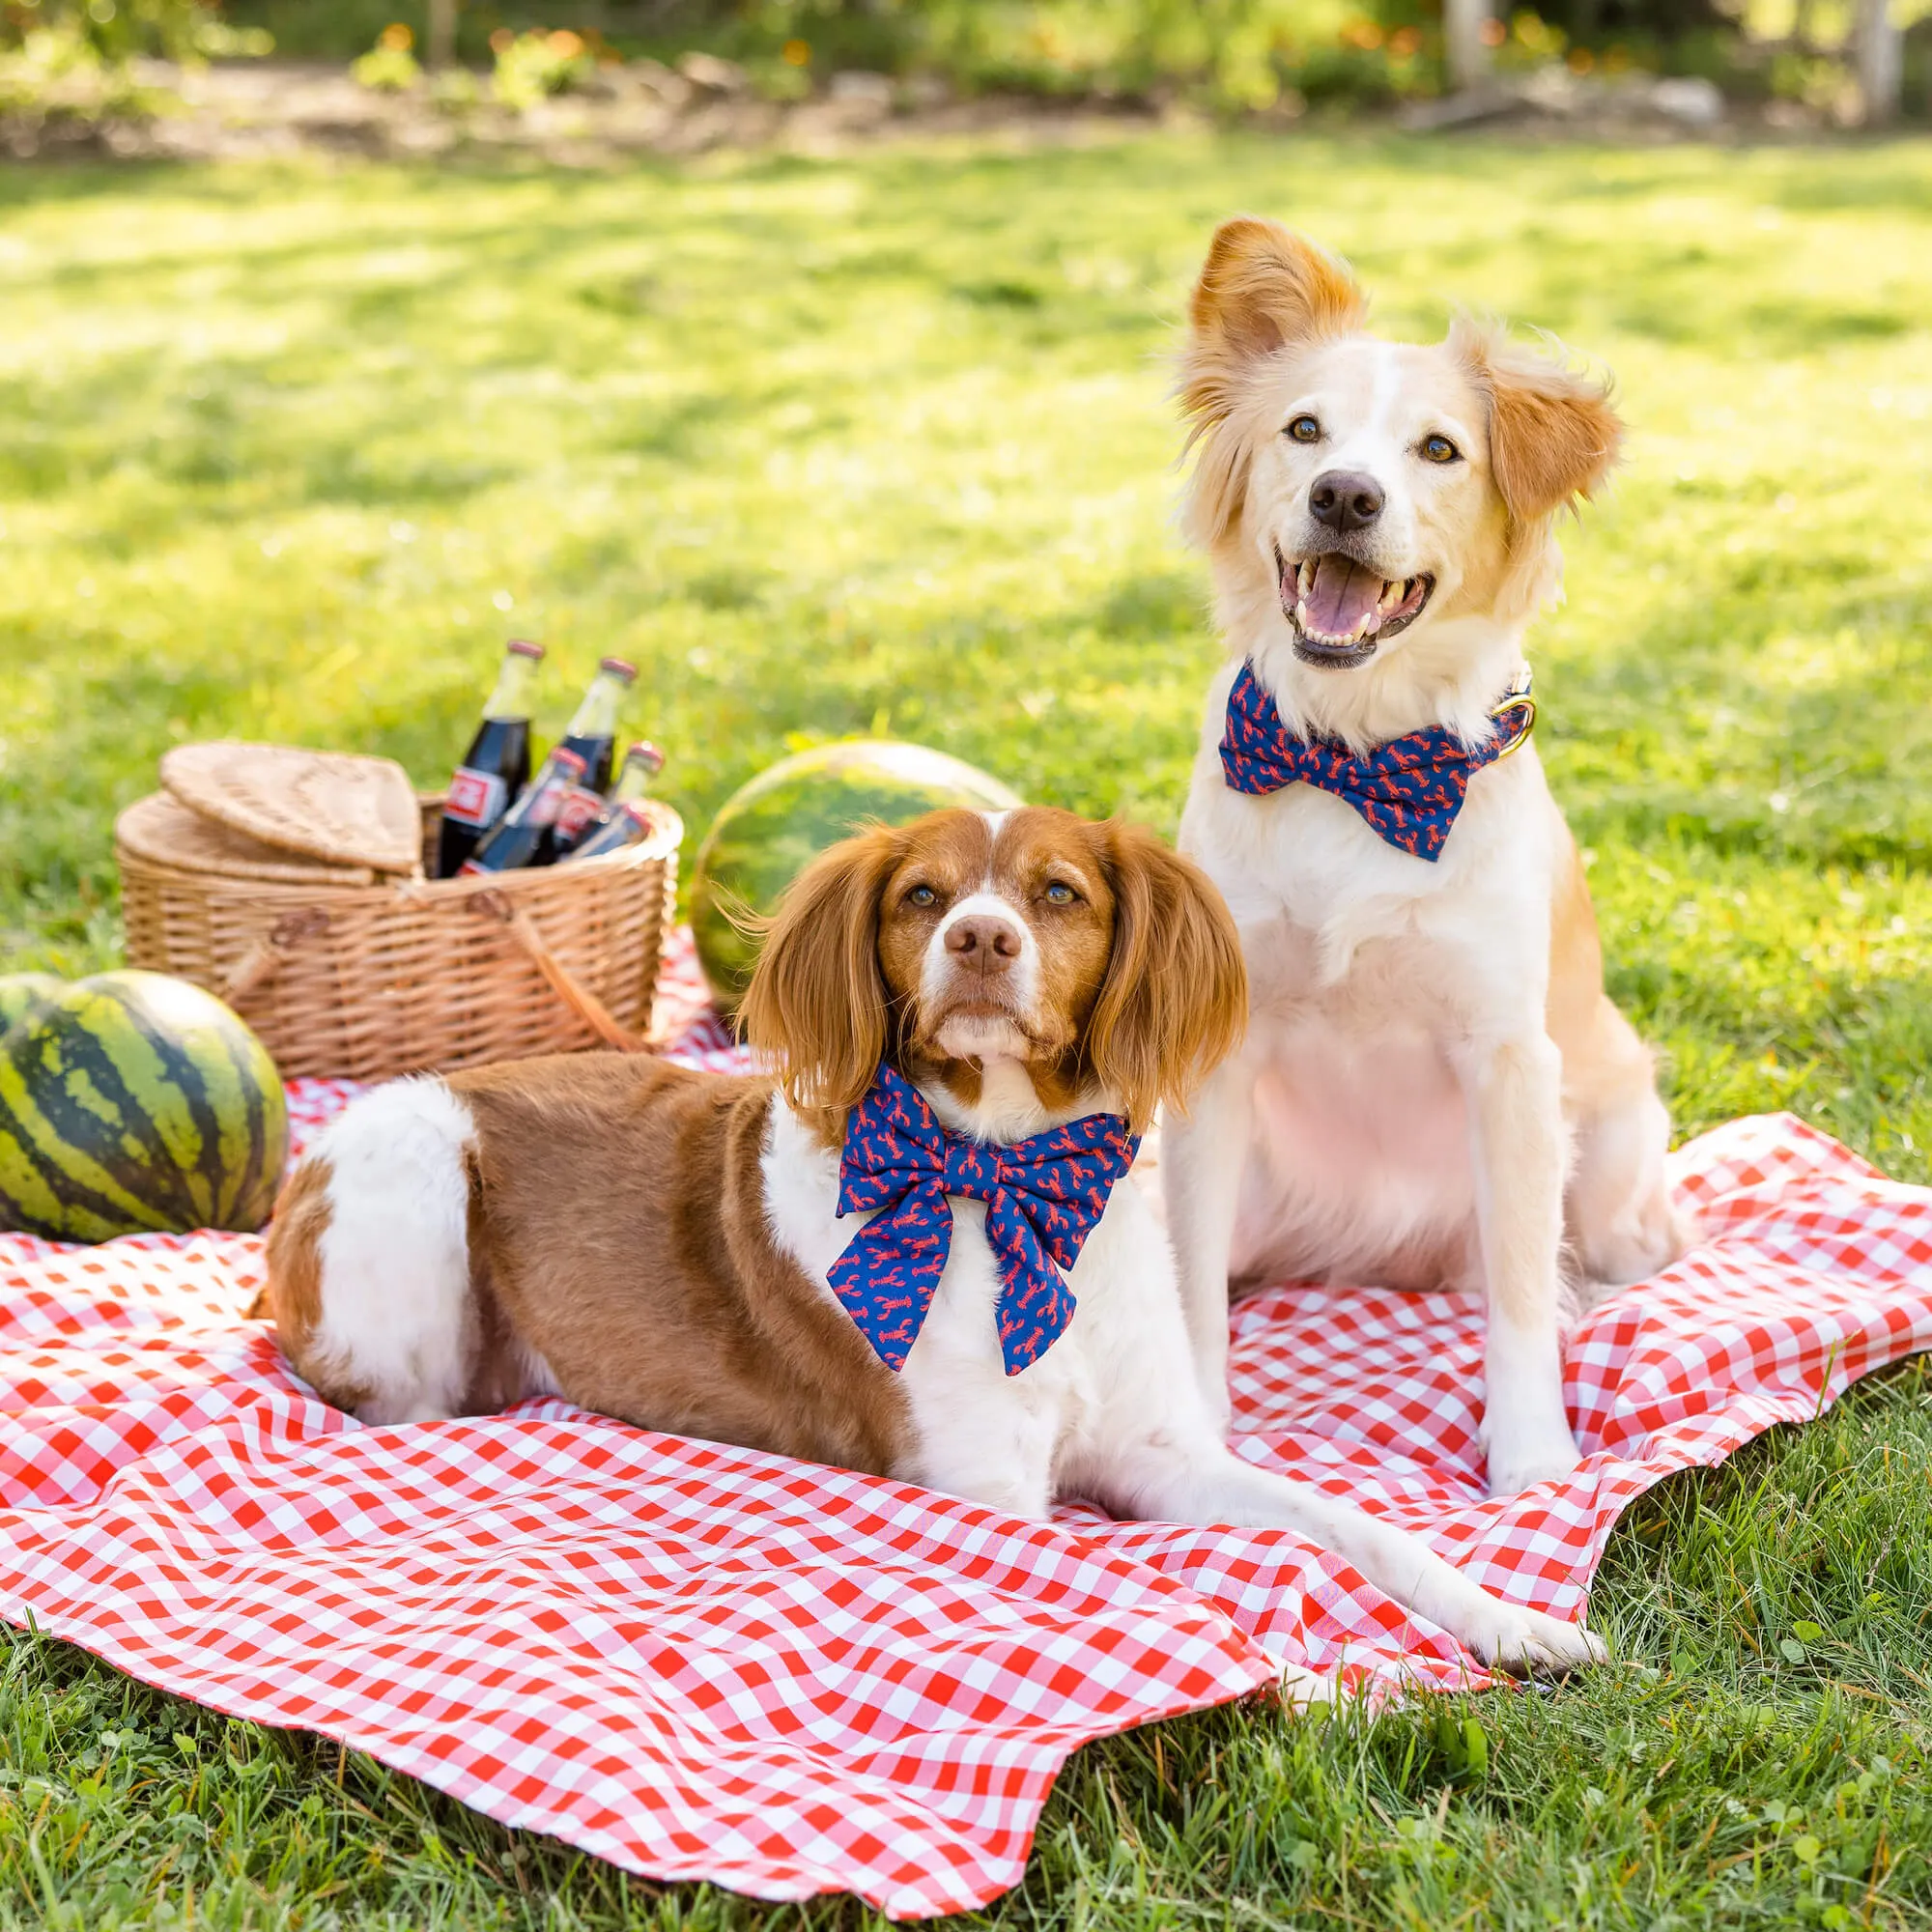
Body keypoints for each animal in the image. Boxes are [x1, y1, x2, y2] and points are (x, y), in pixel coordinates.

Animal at [269, 808, 1600, 1669]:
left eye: (1058, 891)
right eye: (921, 894)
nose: (979, 939)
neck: (1005, 1183)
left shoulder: (1159, 1451)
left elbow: (1353, 1530)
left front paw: (1515, 1621)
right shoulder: (991, 1490)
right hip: (418, 1167)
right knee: (402, 1405)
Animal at [1151, 219, 1685, 1499]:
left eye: (1438, 450)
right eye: (1303, 430)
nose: (1344, 496)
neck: (1354, 758)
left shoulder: (1506, 1061)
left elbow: (1521, 1298)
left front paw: (1531, 1455)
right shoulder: (1214, 1059)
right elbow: (1188, 1295)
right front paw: (1199, 1429)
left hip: (1611, 1132)